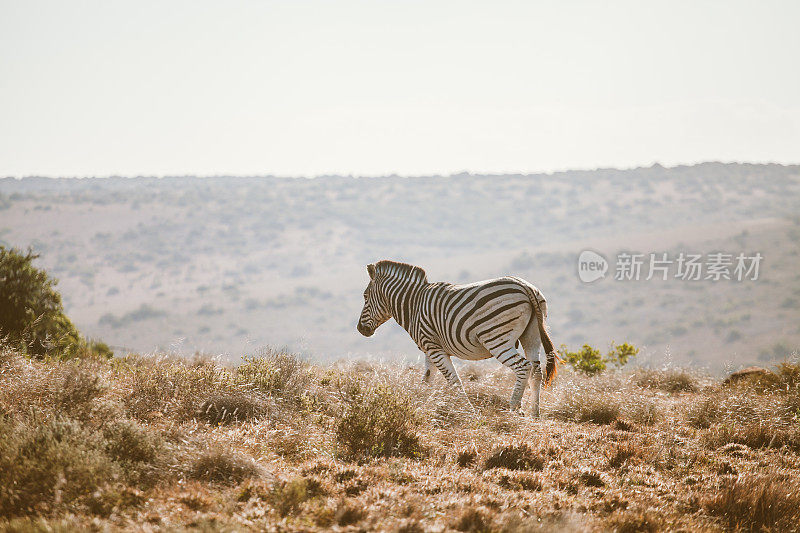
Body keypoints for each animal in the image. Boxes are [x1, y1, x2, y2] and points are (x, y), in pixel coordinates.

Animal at [356, 258, 556, 416]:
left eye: (365, 297)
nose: (360, 329)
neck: (413, 304)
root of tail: (525, 286)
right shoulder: (430, 348)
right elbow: (427, 379)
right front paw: (421, 405)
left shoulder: (433, 348)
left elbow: (454, 381)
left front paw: (467, 411)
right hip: (532, 335)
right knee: (536, 371)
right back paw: (534, 413)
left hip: (496, 338)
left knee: (523, 367)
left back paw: (514, 408)